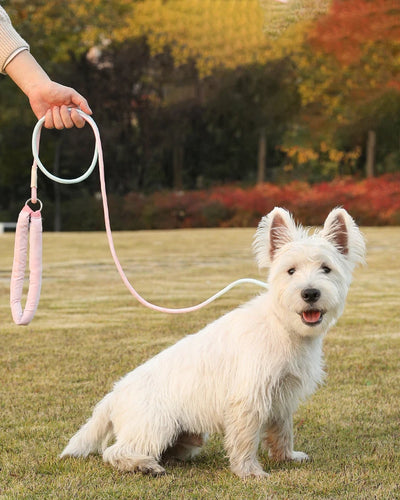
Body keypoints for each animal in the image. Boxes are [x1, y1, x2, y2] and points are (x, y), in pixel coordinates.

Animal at [61, 209, 366, 478]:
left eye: (326, 268)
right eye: (291, 270)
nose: (310, 293)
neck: (283, 327)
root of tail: (113, 397)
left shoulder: (281, 396)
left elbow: (282, 431)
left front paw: (287, 457)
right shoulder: (249, 397)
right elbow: (245, 439)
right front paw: (249, 471)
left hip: (188, 436)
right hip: (154, 426)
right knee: (115, 451)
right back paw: (144, 465)